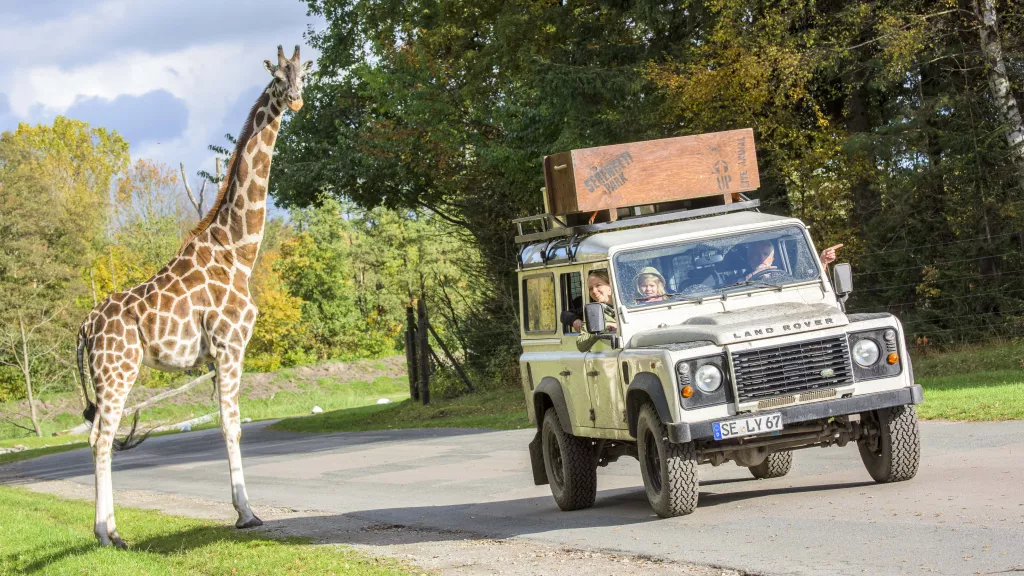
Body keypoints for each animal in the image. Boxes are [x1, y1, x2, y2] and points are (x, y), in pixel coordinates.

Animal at [75, 45, 311, 548]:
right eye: (278, 76)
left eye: (305, 73)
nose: (296, 100)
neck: (239, 250)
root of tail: (84, 328)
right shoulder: (230, 344)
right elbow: (231, 425)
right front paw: (247, 514)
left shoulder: (219, 354)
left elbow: (228, 423)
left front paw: (244, 510)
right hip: (118, 372)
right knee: (102, 437)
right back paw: (107, 534)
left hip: (107, 377)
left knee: (95, 436)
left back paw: (111, 531)